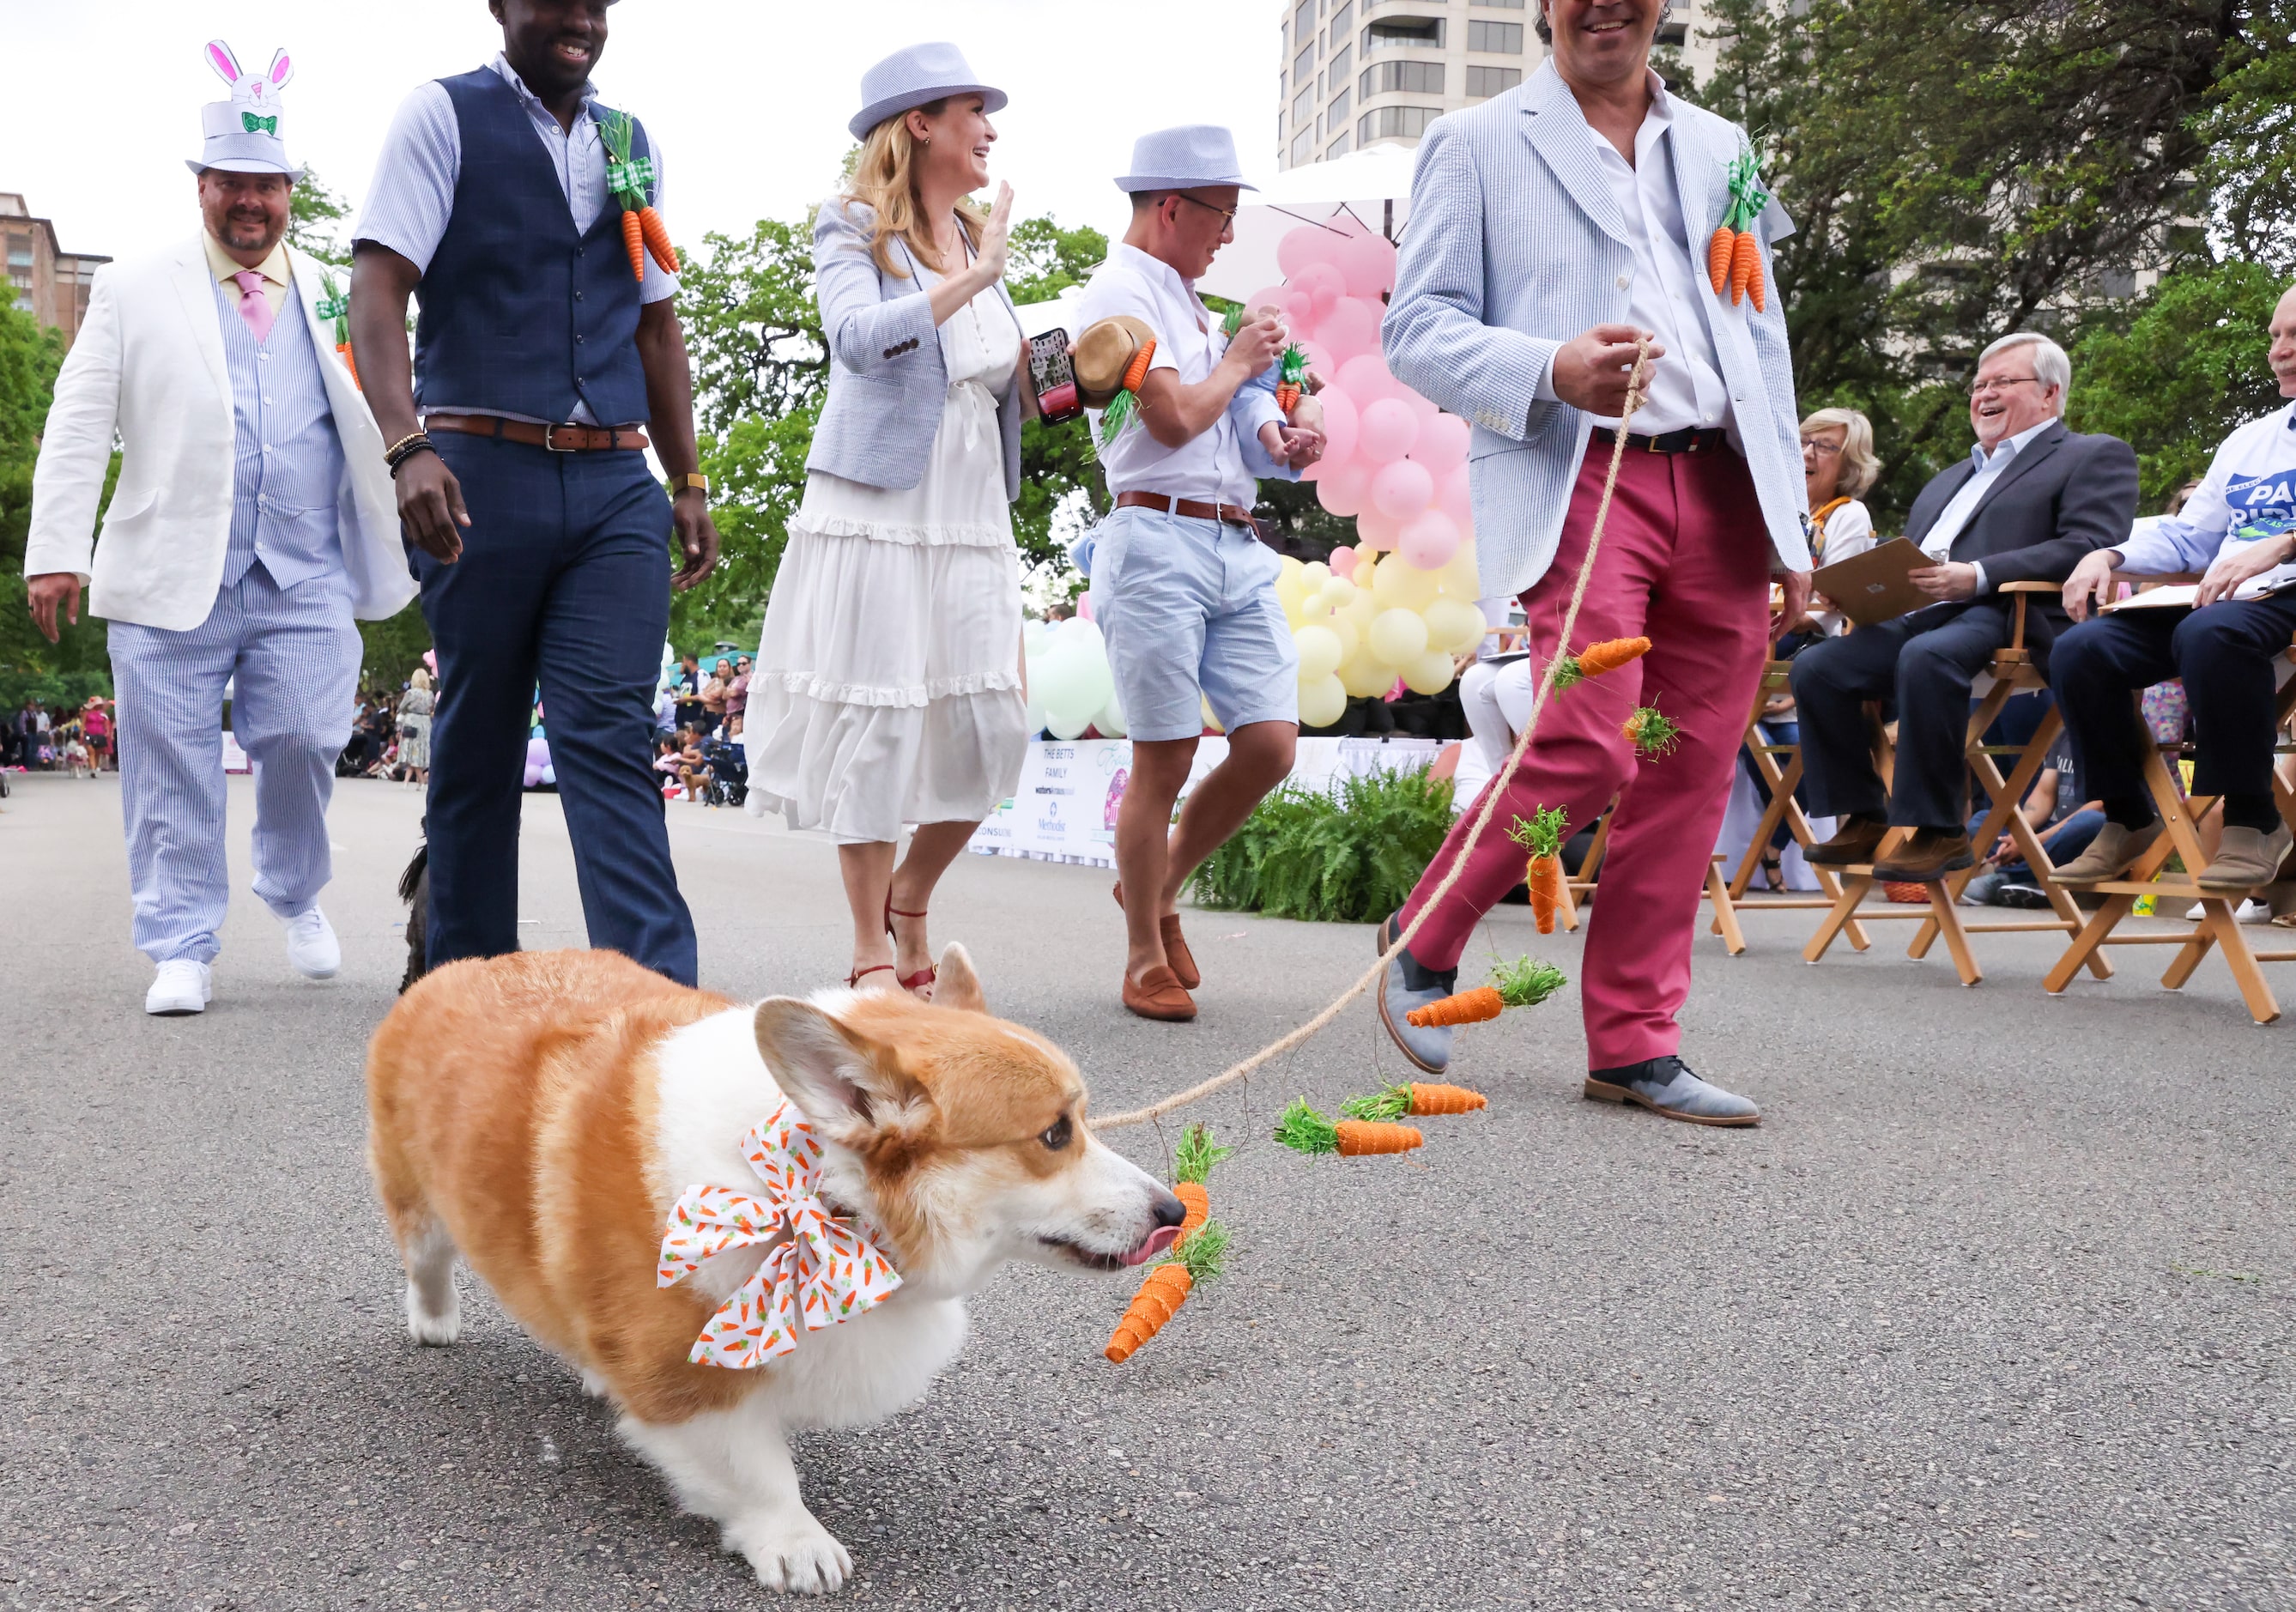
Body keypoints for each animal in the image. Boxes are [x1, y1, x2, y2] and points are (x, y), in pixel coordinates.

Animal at [362, 954, 1184, 1597]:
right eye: (1054, 1134)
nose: (1174, 1210)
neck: (819, 1188)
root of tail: (456, 967)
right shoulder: (692, 1382)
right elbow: (758, 1468)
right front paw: (796, 1543)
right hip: (419, 1203)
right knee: (426, 1260)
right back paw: (434, 1322)